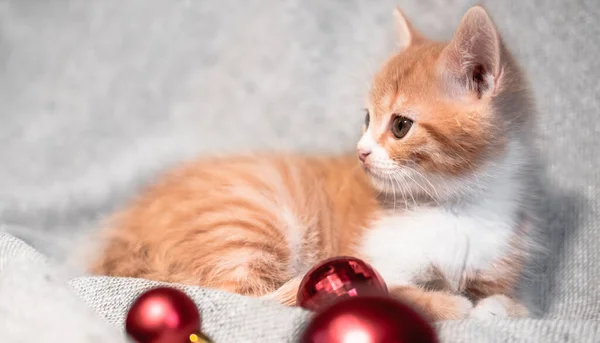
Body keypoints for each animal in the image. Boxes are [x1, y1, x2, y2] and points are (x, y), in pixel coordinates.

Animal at [90, 6, 540, 322]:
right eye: (366, 119)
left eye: (400, 125)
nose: (361, 152)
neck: (455, 207)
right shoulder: (377, 258)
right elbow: (393, 288)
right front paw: (451, 305)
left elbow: (512, 302)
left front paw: (497, 307)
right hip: (248, 219)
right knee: (240, 295)